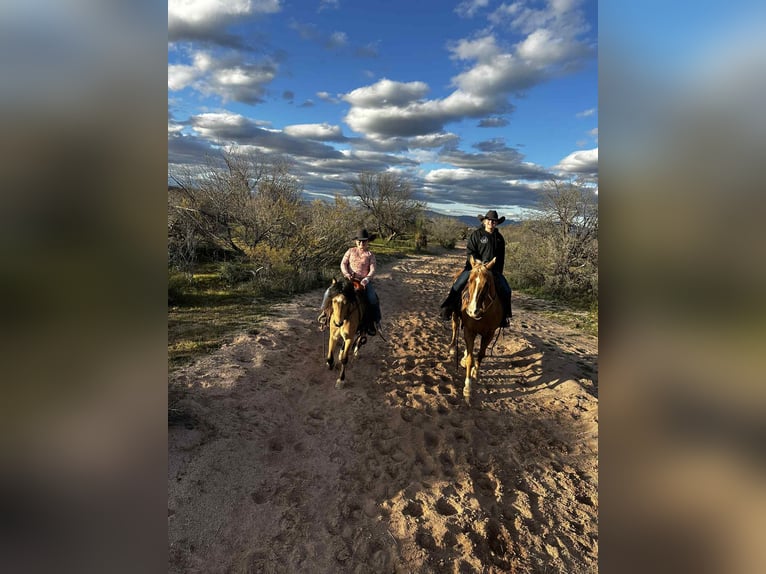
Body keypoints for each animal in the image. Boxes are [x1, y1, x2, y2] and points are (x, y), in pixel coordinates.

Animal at [448, 256, 503, 404]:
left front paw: (475, 372)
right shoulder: (469, 331)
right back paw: (452, 348)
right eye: (469, 281)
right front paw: (467, 388)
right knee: (455, 327)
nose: (473, 311)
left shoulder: (489, 334)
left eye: (487, 284)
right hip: (455, 316)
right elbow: (470, 358)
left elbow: (480, 354)